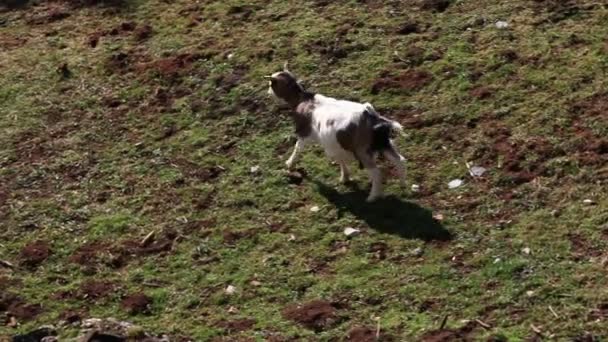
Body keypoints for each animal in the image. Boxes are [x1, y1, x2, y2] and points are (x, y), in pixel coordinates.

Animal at [264, 63, 404, 202]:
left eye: (271, 84)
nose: (268, 93)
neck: (302, 99)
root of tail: (370, 116)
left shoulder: (304, 133)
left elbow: (297, 148)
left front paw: (289, 164)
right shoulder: (334, 145)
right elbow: (340, 159)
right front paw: (345, 177)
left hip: (362, 151)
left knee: (377, 173)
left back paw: (372, 197)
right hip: (383, 143)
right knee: (400, 160)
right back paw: (404, 185)